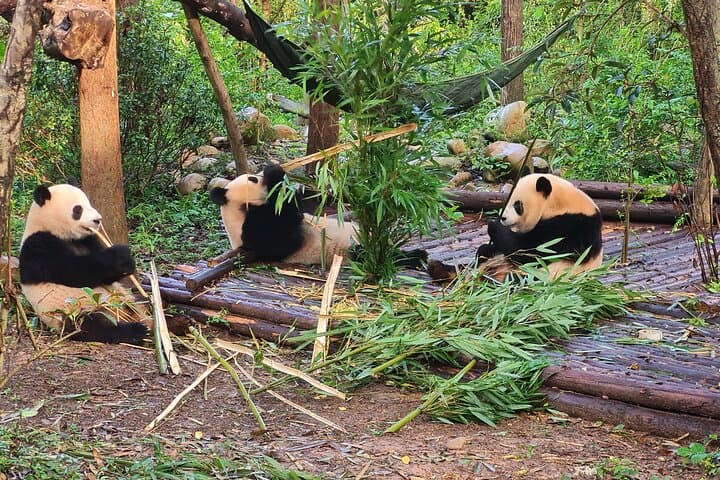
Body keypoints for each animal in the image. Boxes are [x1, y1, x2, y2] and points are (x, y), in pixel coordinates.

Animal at [19, 183, 149, 344]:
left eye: (89, 204)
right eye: (78, 209)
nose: (98, 220)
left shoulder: (88, 240)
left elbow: (105, 277)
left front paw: (128, 263)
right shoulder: (38, 247)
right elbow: (76, 272)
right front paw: (120, 256)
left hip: (125, 298)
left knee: (139, 303)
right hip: (72, 311)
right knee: (93, 326)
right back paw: (136, 331)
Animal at [428, 173, 603, 280]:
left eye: (517, 205)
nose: (503, 218)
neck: (558, 204)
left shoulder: (570, 227)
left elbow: (529, 251)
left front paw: (494, 225)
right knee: (476, 261)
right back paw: (439, 268)